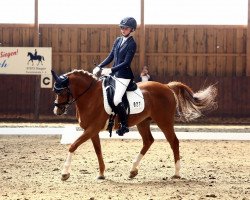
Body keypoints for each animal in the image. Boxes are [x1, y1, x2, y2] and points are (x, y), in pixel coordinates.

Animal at [52, 69, 217, 180]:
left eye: (61, 91)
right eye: (55, 90)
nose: (57, 110)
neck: (90, 96)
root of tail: (167, 86)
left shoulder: (92, 129)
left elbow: (73, 145)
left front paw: (65, 173)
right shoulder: (92, 130)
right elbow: (98, 151)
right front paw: (101, 173)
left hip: (164, 121)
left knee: (173, 141)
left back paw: (176, 173)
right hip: (143, 122)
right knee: (148, 141)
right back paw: (133, 170)